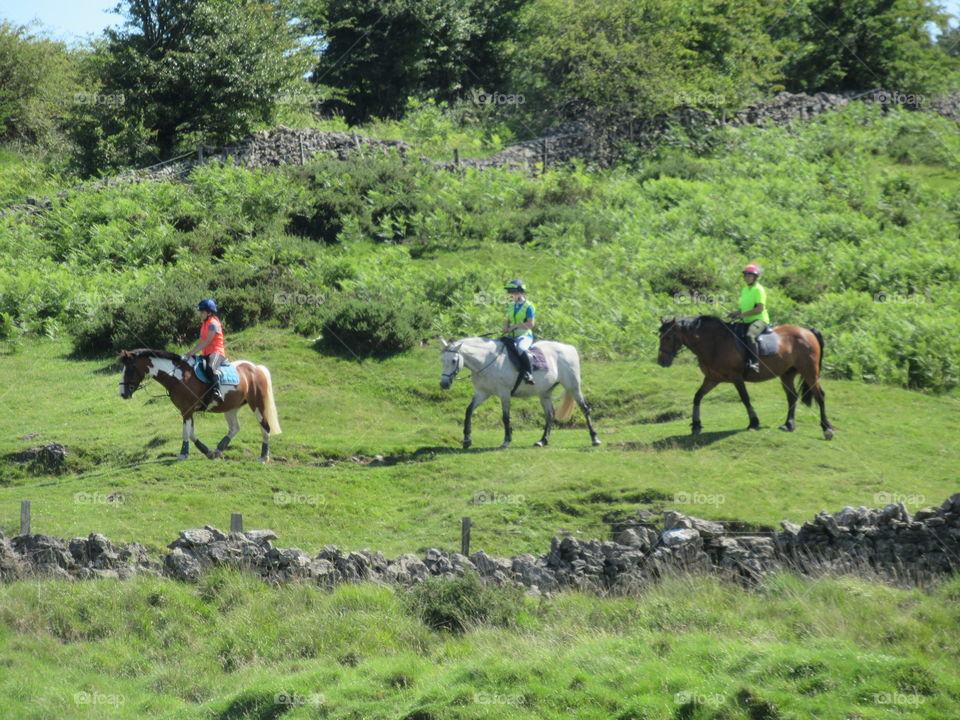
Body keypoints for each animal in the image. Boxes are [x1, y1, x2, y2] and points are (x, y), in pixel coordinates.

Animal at [117, 350, 282, 462]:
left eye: (130, 369)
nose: (123, 394)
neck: (177, 376)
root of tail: (256, 368)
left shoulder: (186, 410)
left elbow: (186, 433)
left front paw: (183, 454)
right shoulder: (188, 411)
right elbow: (191, 433)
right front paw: (207, 451)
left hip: (257, 404)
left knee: (265, 427)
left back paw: (263, 457)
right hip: (231, 407)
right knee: (235, 428)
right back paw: (218, 450)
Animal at [440, 336, 600, 448]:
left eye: (453, 360)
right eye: (442, 360)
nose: (444, 384)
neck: (487, 360)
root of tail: (569, 348)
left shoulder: (504, 393)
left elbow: (505, 417)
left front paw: (506, 440)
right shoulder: (482, 393)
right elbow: (469, 411)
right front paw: (467, 439)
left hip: (573, 387)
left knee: (585, 409)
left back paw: (595, 439)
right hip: (544, 393)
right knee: (549, 414)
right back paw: (542, 441)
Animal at [660, 316, 832, 438]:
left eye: (668, 337)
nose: (661, 361)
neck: (715, 343)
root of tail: (807, 331)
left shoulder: (736, 378)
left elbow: (745, 399)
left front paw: (753, 422)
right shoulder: (712, 379)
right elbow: (697, 397)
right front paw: (696, 425)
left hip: (810, 372)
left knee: (820, 396)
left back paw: (827, 428)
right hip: (787, 374)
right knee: (792, 396)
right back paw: (789, 424)